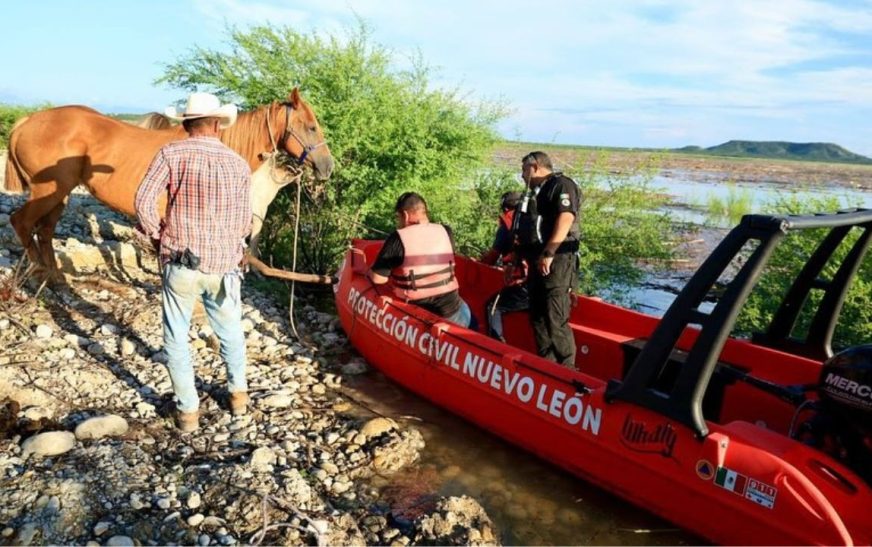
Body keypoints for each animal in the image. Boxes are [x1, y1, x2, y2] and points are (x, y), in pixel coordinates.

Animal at [5, 89, 332, 282]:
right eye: (311, 127)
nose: (327, 167)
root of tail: (27, 121)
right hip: (48, 193)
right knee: (21, 223)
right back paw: (38, 274)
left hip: (58, 195)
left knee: (45, 232)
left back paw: (55, 279)